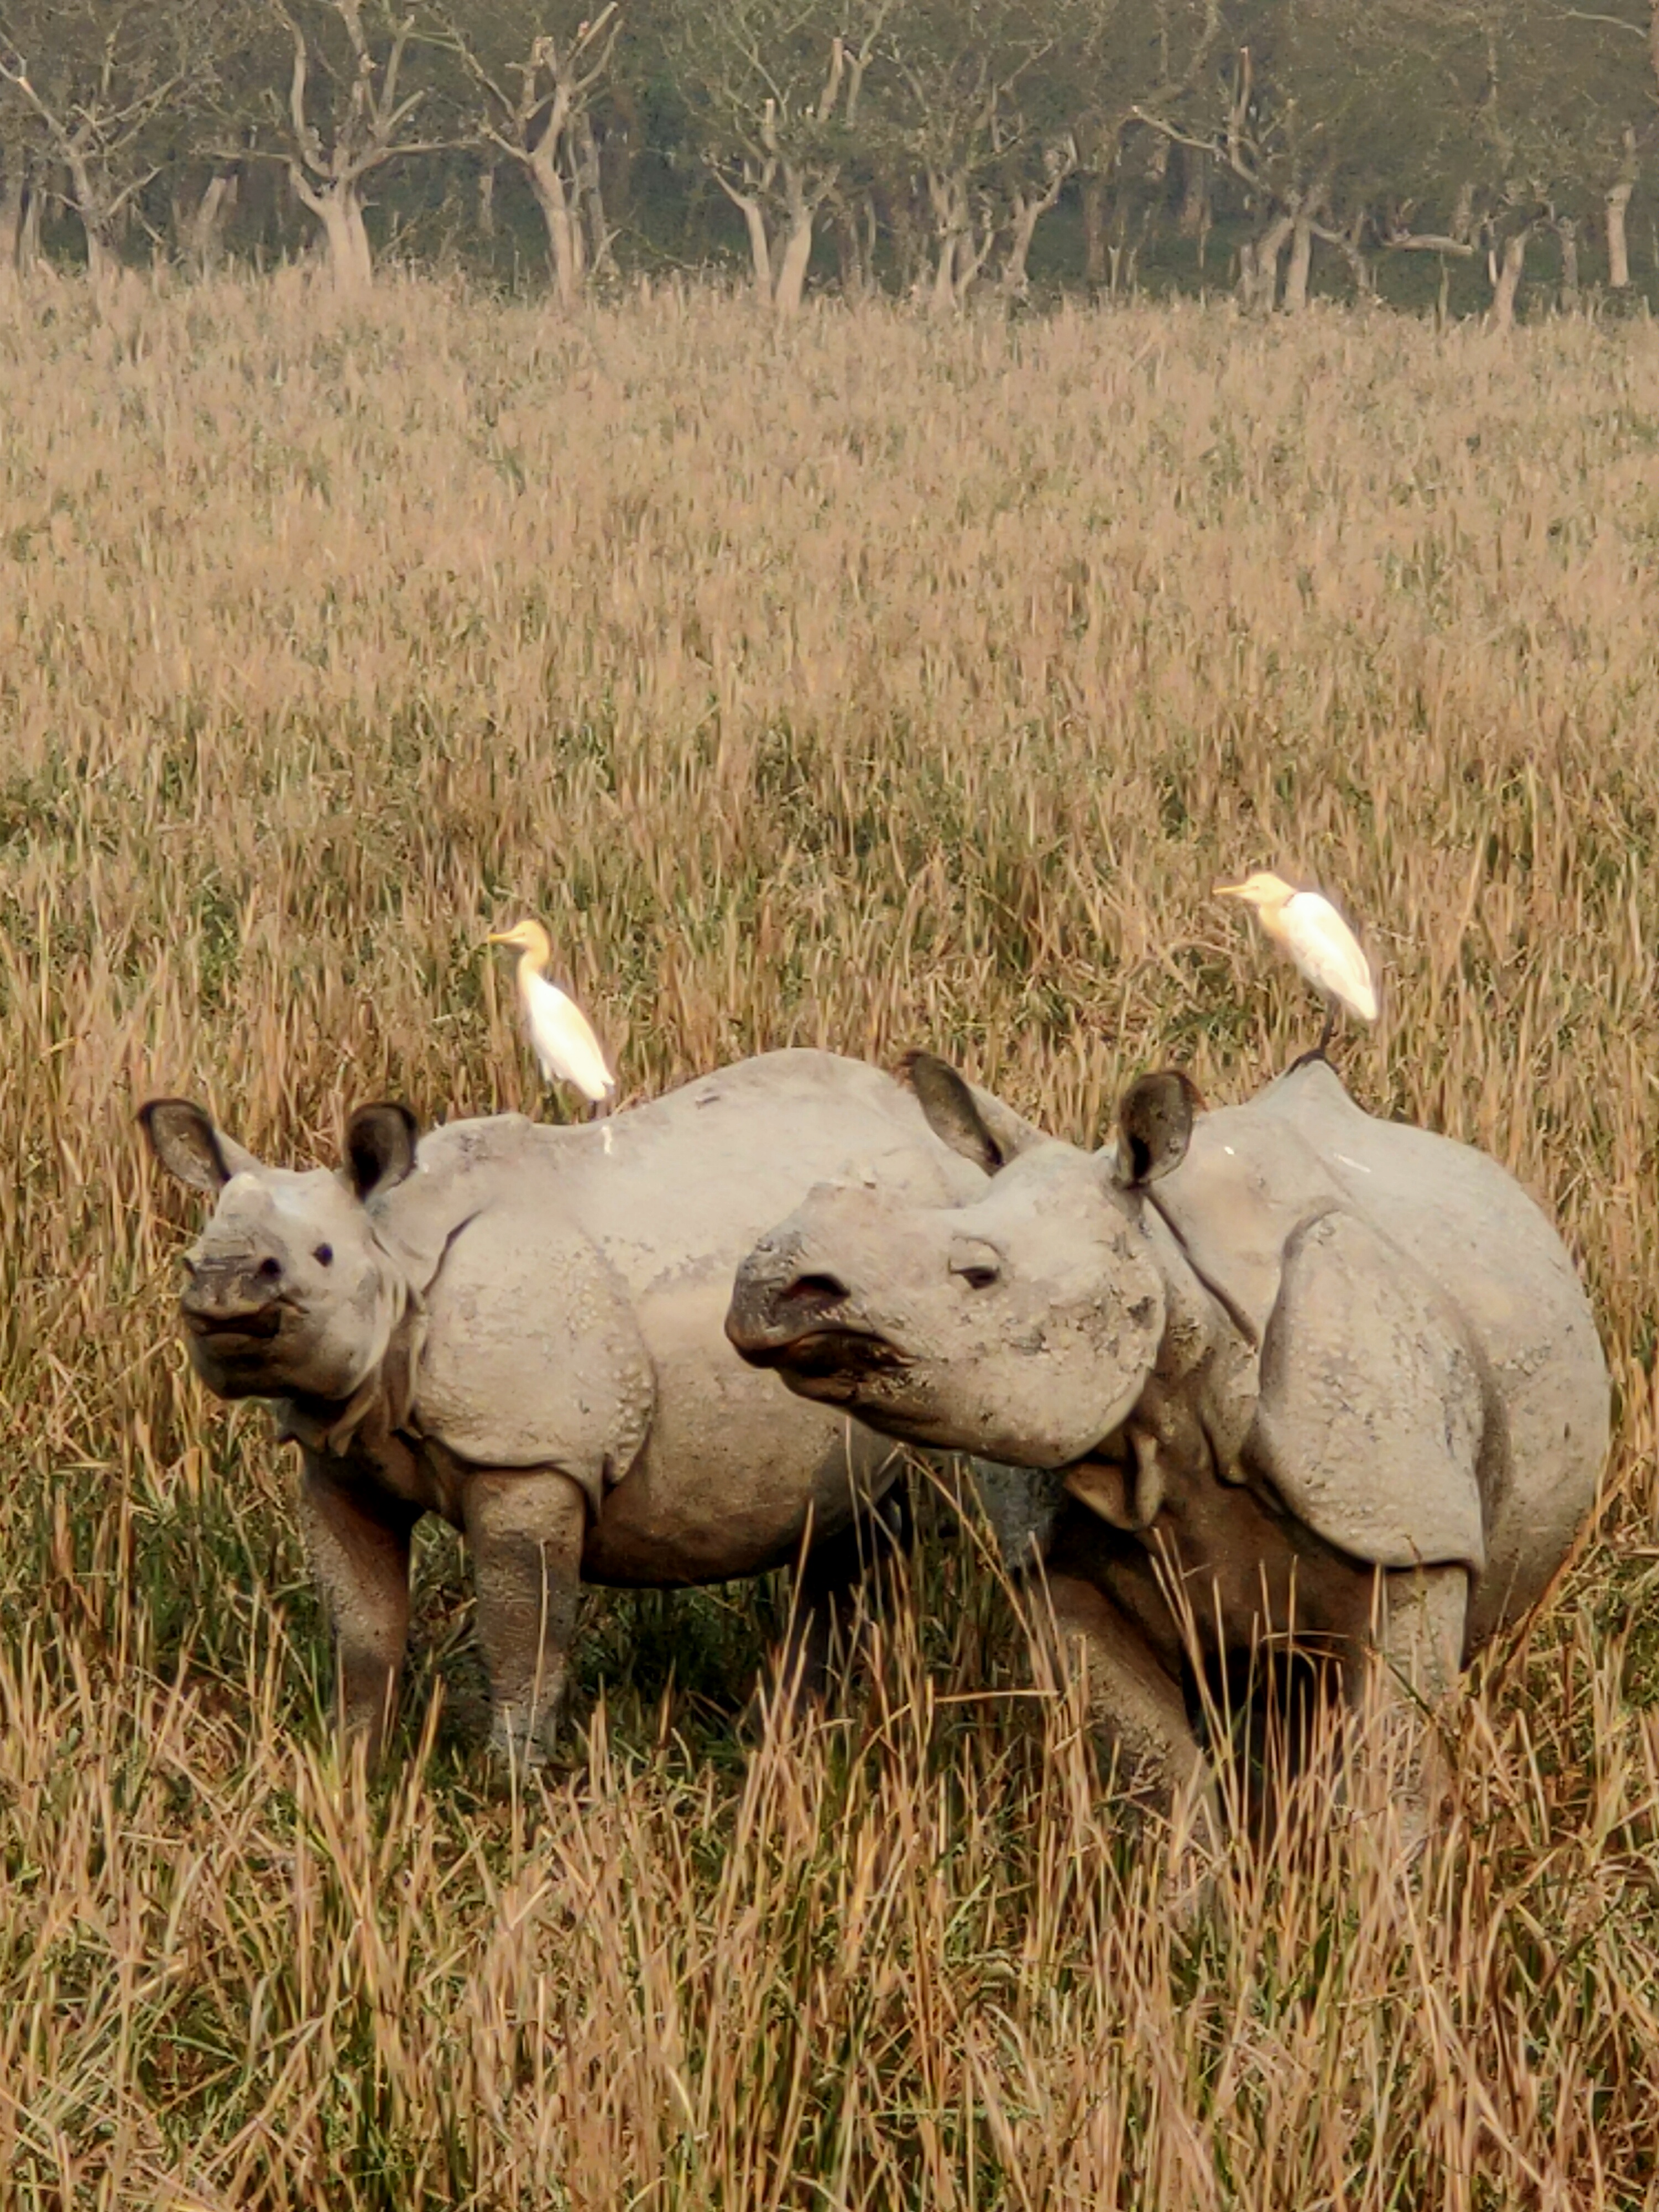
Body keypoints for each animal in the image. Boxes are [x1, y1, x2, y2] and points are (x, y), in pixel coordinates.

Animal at [140, 1050, 987, 1766]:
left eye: (319, 1258)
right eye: (188, 1261)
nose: (222, 1289)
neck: (392, 1254)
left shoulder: (530, 1458)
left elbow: (523, 1629)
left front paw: (512, 1782)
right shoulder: (339, 1451)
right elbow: (363, 1626)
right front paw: (352, 1769)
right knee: (846, 1522)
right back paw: (794, 1730)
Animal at [726, 1053, 1608, 1826]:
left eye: (979, 1276)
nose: (771, 1293)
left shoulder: (1405, 1530)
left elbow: (1389, 1777)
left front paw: (1385, 1909)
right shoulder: (1059, 1560)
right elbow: (1159, 1781)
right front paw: (1195, 1911)